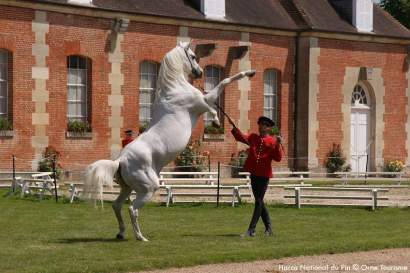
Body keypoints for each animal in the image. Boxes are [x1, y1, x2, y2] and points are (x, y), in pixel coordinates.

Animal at [83, 41, 255, 240]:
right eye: (193, 56)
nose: (200, 72)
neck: (175, 90)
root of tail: (120, 160)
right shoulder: (203, 102)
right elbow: (222, 85)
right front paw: (217, 120)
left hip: (127, 188)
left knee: (117, 205)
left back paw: (121, 233)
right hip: (148, 188)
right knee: (132, 209)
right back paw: (141, 237)